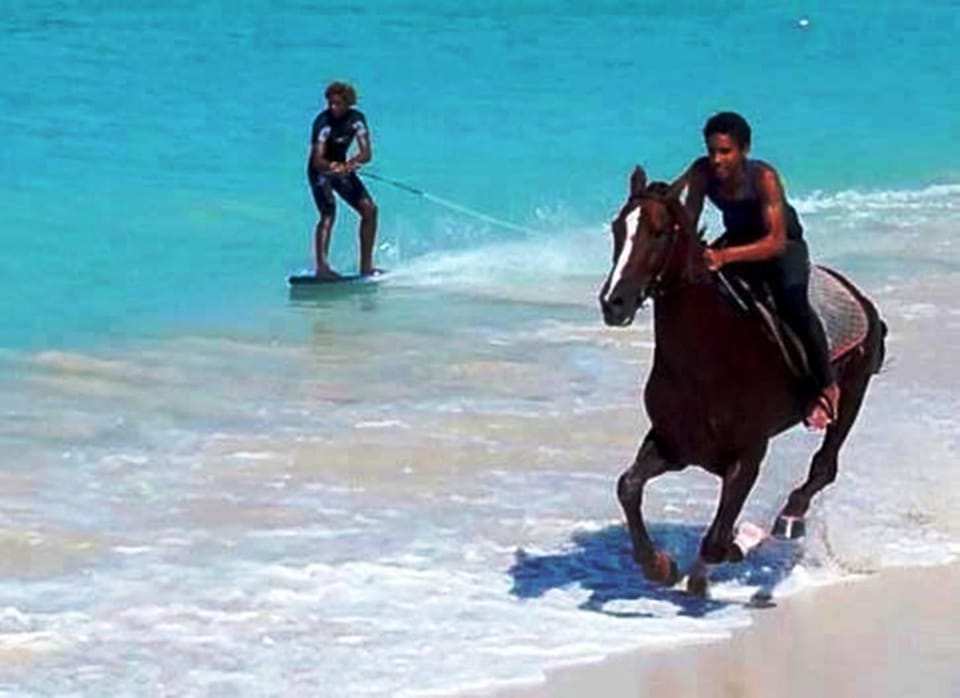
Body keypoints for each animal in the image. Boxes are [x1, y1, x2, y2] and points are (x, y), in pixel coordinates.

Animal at [598, 166, 886, 594]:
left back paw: (789, 519)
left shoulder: (748, 455)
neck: (707, 359)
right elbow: (628, 486)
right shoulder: (671, 444)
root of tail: (859, 297)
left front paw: (736, 546)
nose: (614, 303)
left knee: (824, 466)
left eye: (659, 231)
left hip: (852, 393)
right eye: (618, 228)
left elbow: (718, 540)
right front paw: (660, 566)